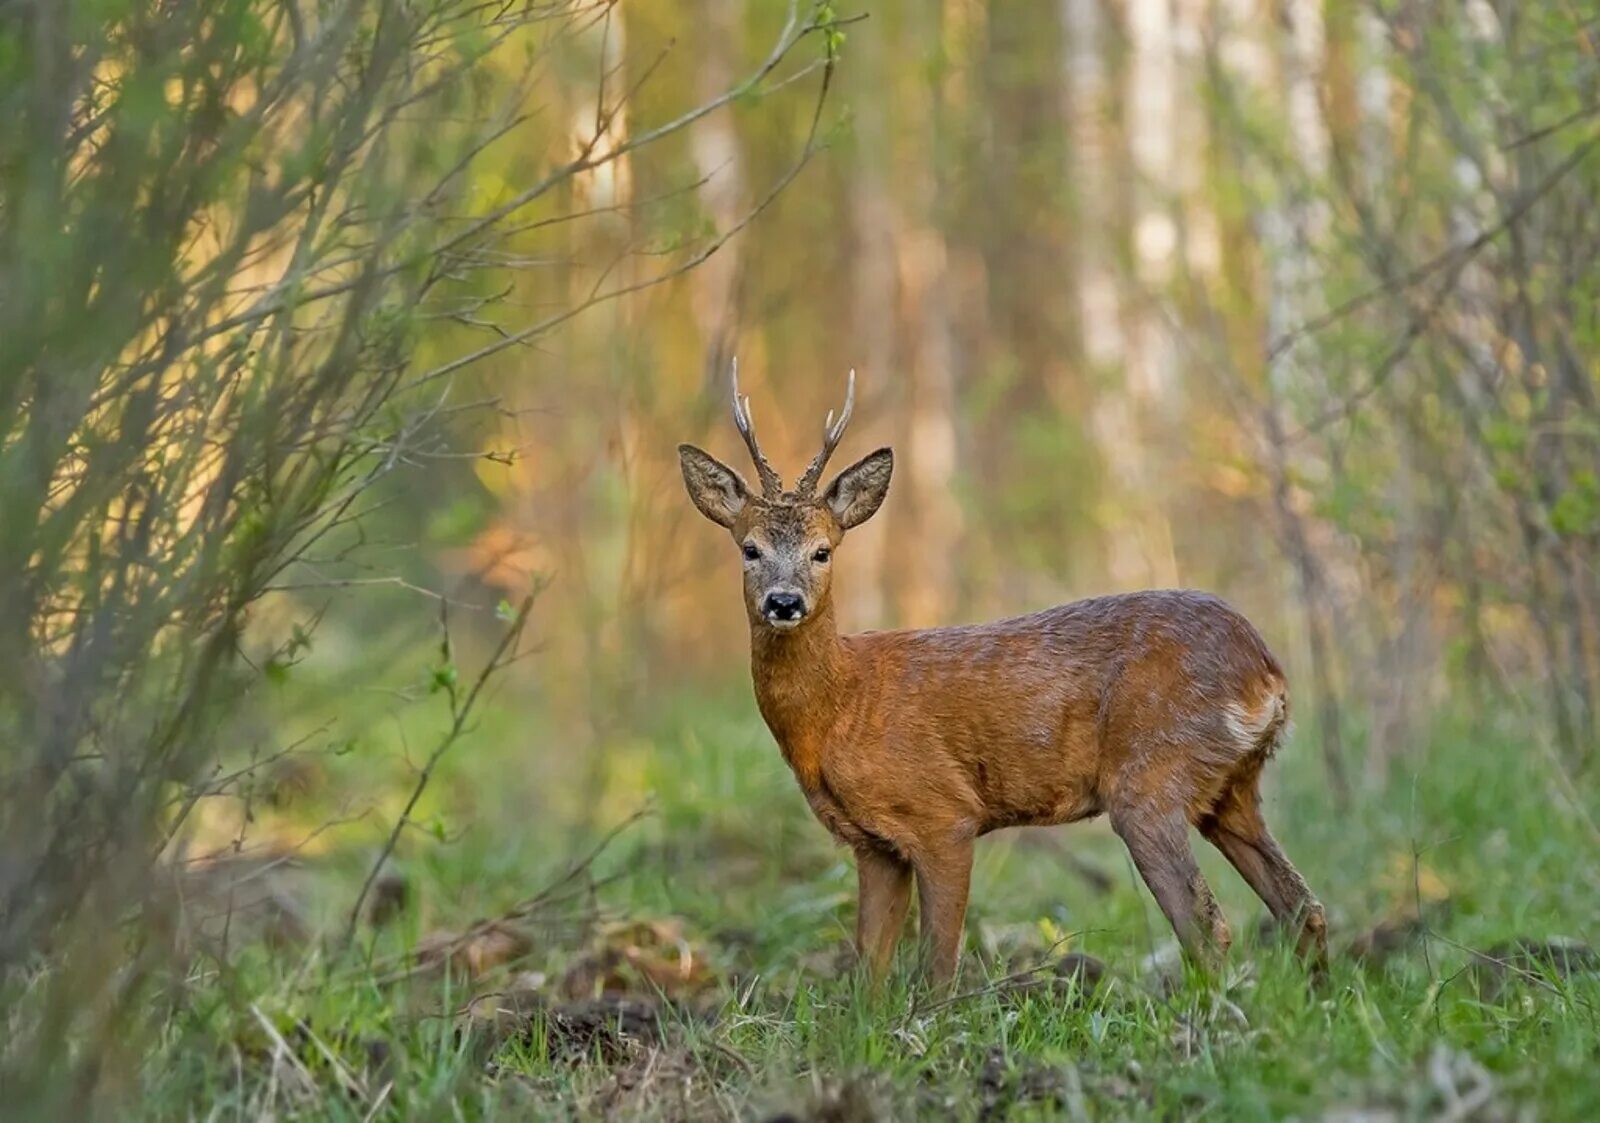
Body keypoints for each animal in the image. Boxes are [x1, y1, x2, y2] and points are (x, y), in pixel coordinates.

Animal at [675, 369, 1324, 985]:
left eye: (822, 550)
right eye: (750, 549)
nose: (784, 603)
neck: (841, 706)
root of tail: (1266, 673)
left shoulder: (943, 815)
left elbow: (938, 966)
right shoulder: (873, 844)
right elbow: (868, 973)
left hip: (1152, 774)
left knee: (1207, 924)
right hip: (1230, 789)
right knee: (1301, 906)